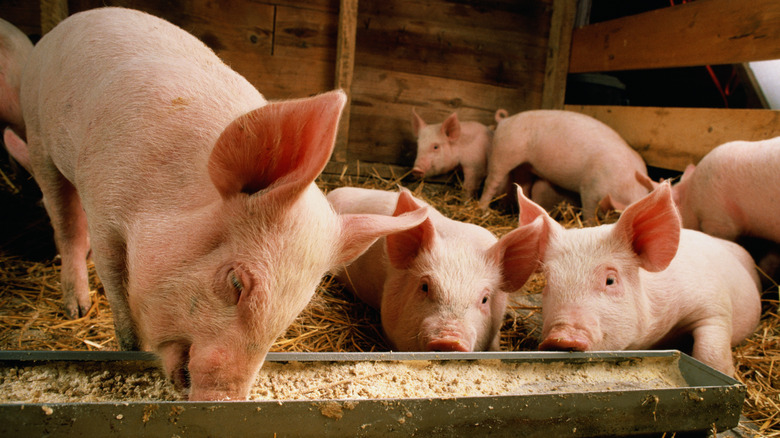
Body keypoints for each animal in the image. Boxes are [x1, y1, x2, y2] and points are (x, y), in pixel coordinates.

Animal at [18, 7, 430, 404]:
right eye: (236, 282)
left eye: (294, 309)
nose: (225, 398)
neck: (160, 198)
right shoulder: (103, 202)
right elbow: (116, 285)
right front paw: (127, 347)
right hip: (38, 134)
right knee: (65, 219)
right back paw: (77, 308)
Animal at [478, 110, 656, 218]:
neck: (627, 183)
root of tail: (505, 120)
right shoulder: (589, 189)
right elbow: (589, 214)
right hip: (503, 153)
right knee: (491, 182)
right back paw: (483, 209)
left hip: (525, 165)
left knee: (523, 186)